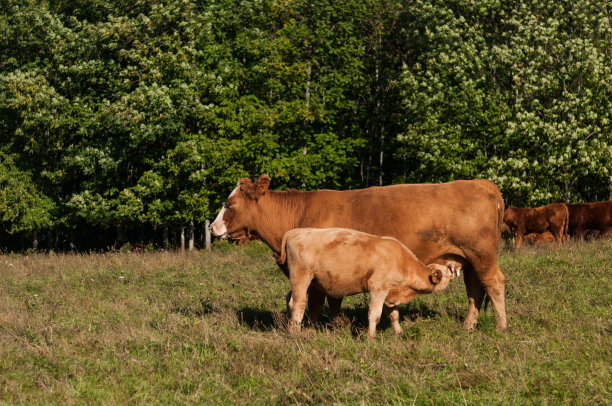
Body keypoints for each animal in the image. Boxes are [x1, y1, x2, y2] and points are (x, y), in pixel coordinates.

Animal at [278, 228, 460, 340]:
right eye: (447, 272)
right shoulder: (377, 287)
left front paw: (399, 333)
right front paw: (371, 337)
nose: (456, 269)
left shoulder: (390, 293)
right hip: (301, 276)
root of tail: (295, 231)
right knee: (299, 304)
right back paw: (296, 333)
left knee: (290, 300)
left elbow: (394, 315)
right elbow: (375, 314)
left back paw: (289, 328)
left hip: (310, 282)